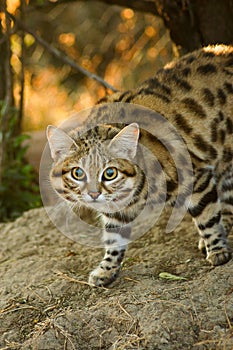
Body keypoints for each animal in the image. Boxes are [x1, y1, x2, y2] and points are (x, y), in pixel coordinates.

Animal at [46, 44, 232, 284]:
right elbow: (114, 238)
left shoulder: (196, 176)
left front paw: (218, 250)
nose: (94, 194)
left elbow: (207, 217)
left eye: (110, 173)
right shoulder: (115, 211)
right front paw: (107, 269)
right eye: (78, 173)